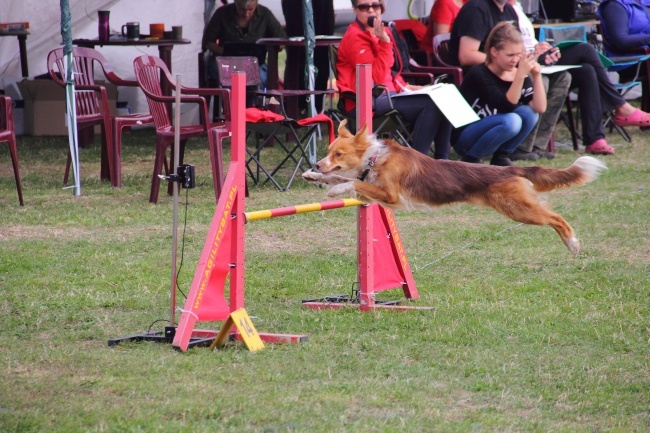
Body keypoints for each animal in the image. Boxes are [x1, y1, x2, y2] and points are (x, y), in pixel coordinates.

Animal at [304, 119, 608, 253]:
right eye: (328, 152)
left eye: (338, 154)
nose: (318, 163)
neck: (374, 157)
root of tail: (510, 168)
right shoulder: (373, 187)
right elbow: (348, 179)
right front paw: (313, 177)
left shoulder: (391, 196)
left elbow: (350, 183)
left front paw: (334, 190)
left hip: (519, 209)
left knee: (556, 218)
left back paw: (572, 244)